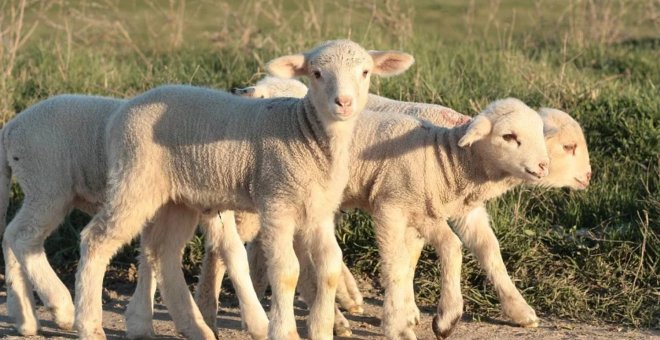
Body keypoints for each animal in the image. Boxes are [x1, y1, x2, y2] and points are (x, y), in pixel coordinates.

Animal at [72, 39, 412, 340]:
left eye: (365, 72)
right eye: (316, 73)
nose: (344, 103)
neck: (306, 134)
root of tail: (121, 112)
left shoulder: (318, 211)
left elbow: (329, 267)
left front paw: (322, 329)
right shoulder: (276, 202)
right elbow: (287, 270)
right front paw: (284, 331)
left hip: (177, 198)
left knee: (163, 253)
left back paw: (197, 328)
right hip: (135, 178)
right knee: (96, 240)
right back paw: (89, 326)